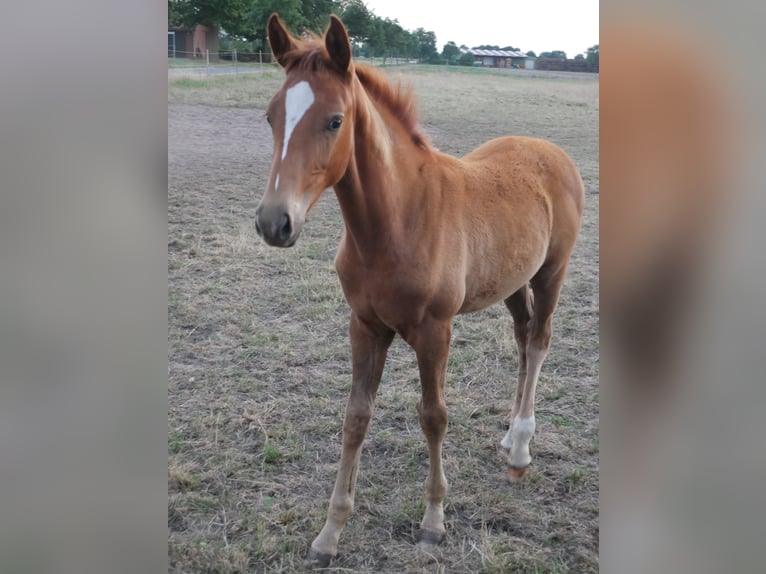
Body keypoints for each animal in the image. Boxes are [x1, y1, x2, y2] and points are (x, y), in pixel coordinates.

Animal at [255, 12, 584, 568]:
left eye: (335, 120)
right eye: (271, 116)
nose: (274, 222)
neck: (396, 222)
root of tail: (551, 151)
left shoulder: (435, 332)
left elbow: (434, 417)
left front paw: (433, 522)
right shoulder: (365, 326)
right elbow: (356, 417)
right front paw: (329, 534)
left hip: (551, 272)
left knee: (539, 342)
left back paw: (520, 449)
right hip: (512, 280)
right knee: (522, 340)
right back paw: (508, 437)